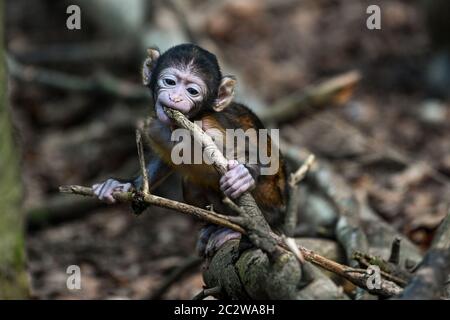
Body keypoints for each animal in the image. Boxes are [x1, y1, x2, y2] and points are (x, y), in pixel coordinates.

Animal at [92, 43, 286, 256]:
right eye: (170, 82)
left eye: (192, 91)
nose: (176, 98)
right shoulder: (156, 127)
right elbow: (163, 161)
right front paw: (122, 185)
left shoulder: (210, 128)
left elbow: (254, 151)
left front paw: (243, 174)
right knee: (191, 184)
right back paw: (214, 227)